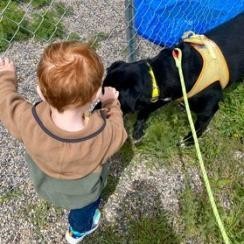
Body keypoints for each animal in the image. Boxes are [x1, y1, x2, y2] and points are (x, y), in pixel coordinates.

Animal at [103, 12, 244, 145]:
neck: (159, 72)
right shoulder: (164, 95)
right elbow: (146, 109)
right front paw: (138, 129)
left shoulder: (209, 107)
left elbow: (199, 128)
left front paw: (188, 141)